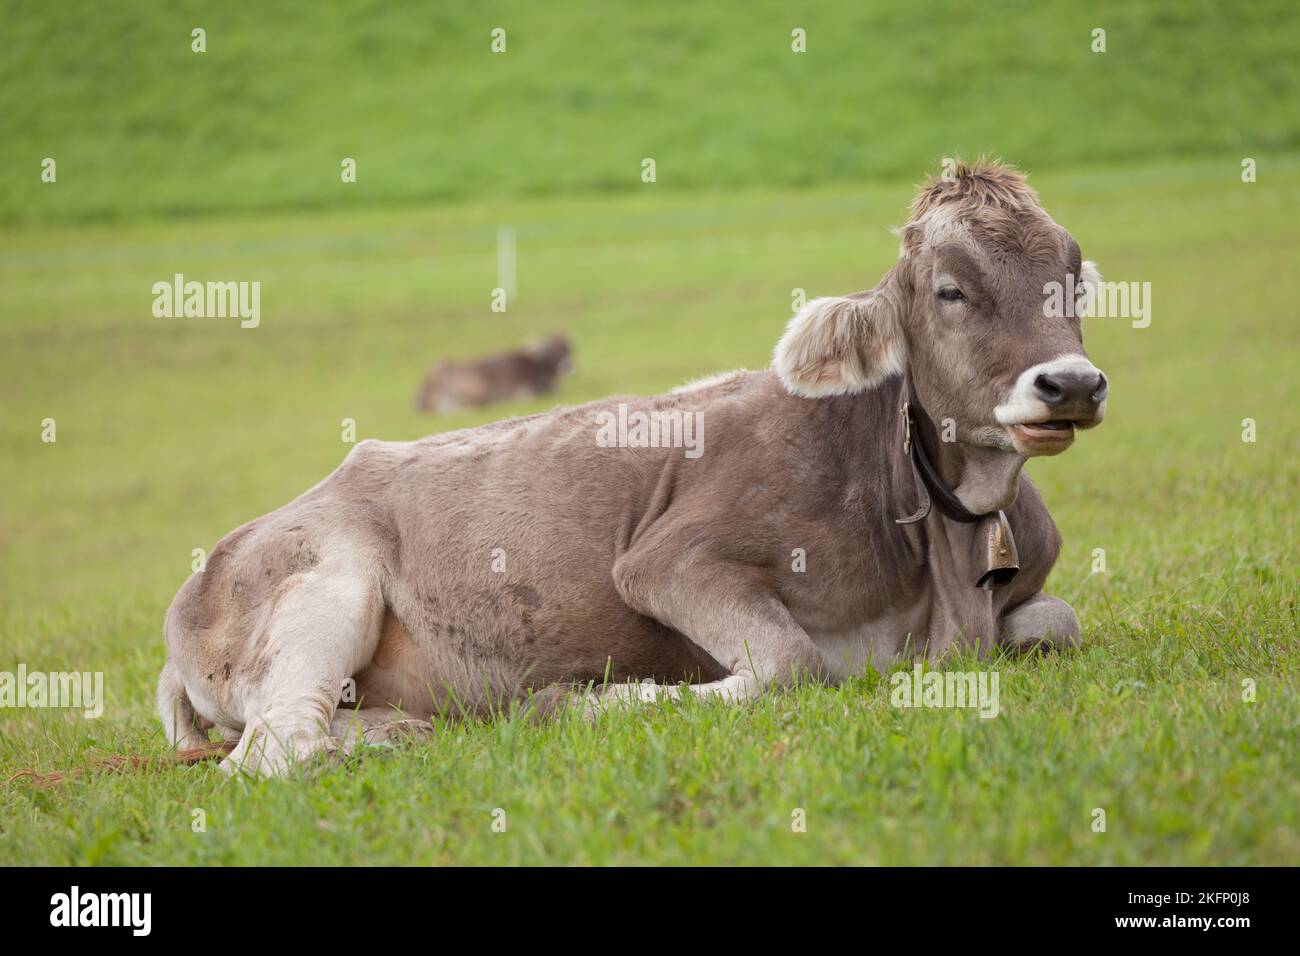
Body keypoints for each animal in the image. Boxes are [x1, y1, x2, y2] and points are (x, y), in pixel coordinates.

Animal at [158, 159, 1108, 776]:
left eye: (1073, 281)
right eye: (950, 289)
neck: (944, 569)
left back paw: (402, 731)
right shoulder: (665, 560)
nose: (1071, 384)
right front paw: (573, 702)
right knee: (272, 751)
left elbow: (1058, 622)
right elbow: (791, 663)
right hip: (327, 579)